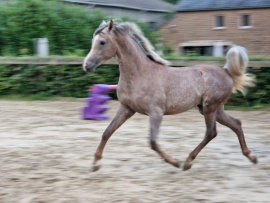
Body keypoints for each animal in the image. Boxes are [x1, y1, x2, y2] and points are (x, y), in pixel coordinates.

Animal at [82, 19, 258, 171]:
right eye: (92, 41)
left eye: (102, 42)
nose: (86, 66)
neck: (140, 74)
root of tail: (226, 71)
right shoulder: (126, 109)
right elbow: (107, 132)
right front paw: (95, 164)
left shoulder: (156, 113)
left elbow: (153, 142)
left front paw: (174, 162)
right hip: (213, 109)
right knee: (236, 124)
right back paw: (251, 157)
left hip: (210, 108)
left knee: (211, 132)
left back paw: (187, 162)